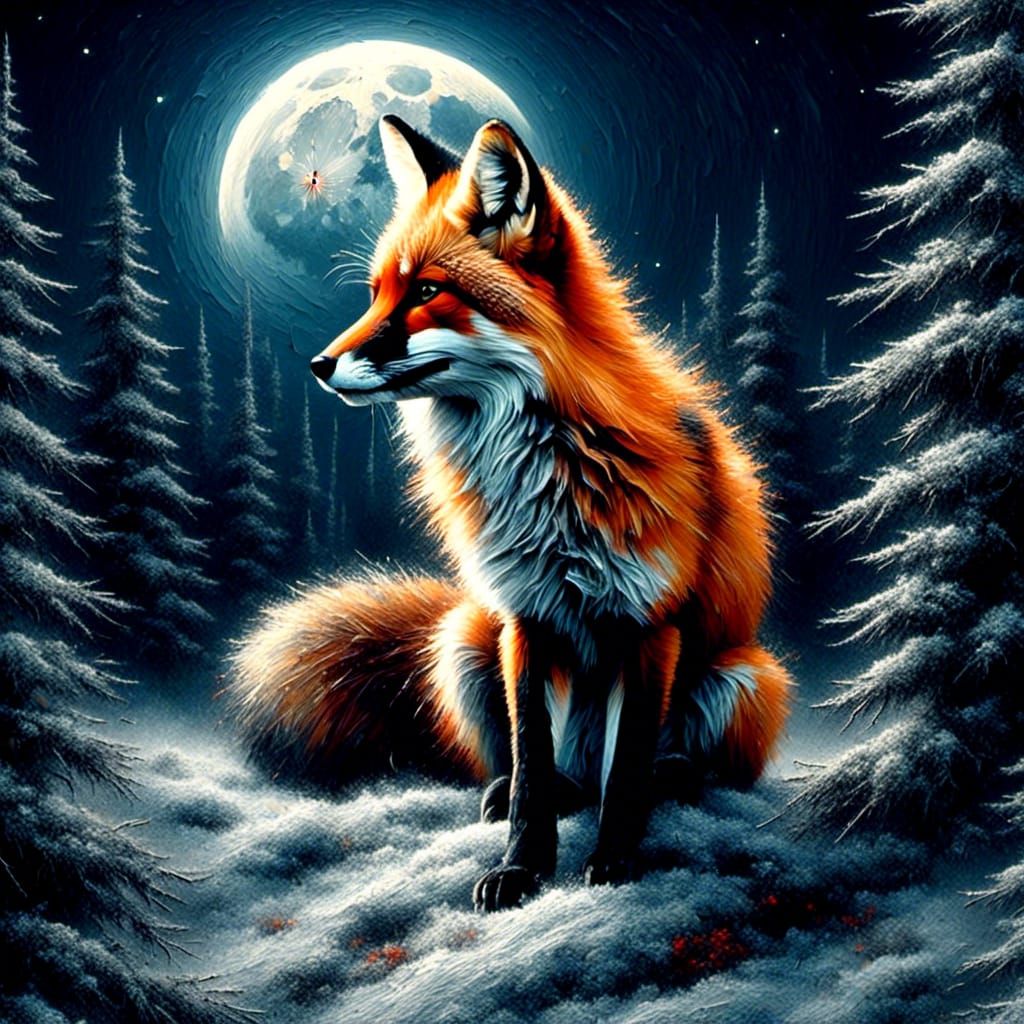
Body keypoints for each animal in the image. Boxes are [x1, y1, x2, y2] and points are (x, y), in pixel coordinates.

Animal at [230, 114, 792, 912]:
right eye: (375, 293)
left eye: (428, 291)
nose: (318, 364)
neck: (548, 479)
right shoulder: (523, 619)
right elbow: (530, 766)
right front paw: (522, 869)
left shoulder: (650, 625)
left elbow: (626, 776)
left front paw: (613, 861)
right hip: (464, 637)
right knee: (551, 775)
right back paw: (522, 793)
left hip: (746, 675)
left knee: (649, 770)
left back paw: (671, 778)